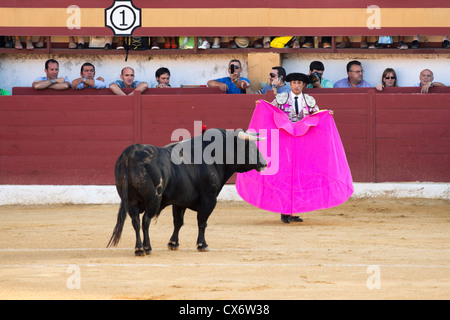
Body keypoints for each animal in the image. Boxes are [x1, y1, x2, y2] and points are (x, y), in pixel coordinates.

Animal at [107, 129, 268, 256]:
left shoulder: (179, 201)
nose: (265, 163)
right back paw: (147, 248)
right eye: (251, 147)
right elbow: (202, 222)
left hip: (131, 201)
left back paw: (139, 248)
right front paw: (202, 245)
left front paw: (173, 243)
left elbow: (178, 222)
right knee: (145, 220)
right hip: (153, 199)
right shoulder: (209, 199)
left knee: (135, 221)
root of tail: (131, 152)